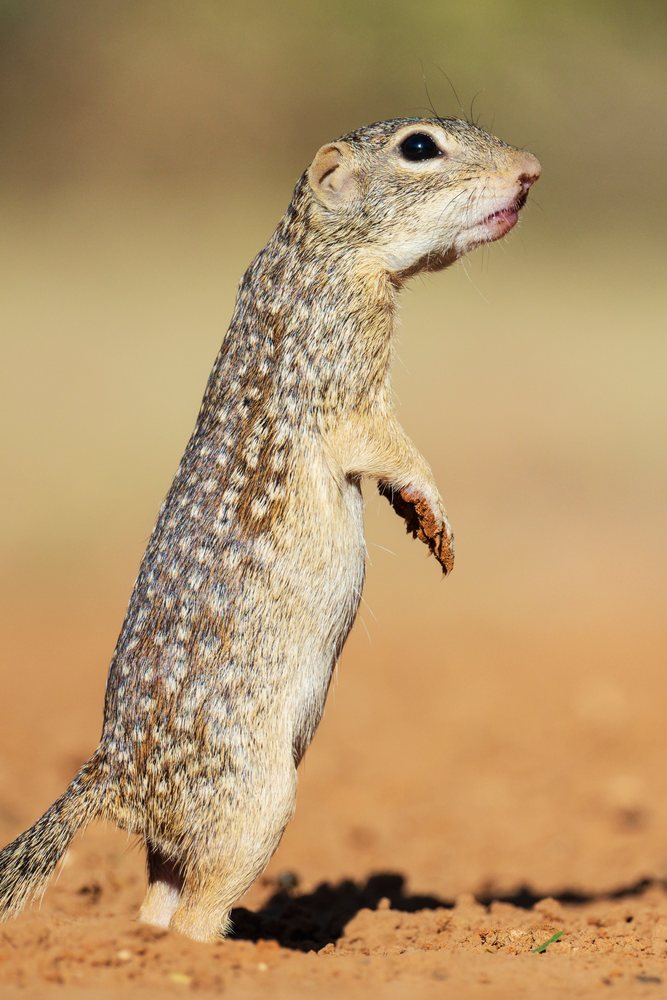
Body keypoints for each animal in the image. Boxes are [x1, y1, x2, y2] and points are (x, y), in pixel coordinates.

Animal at [0, 117, 540, 942]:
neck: (314, 249)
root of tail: (113, 775)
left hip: (182, 836)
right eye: (419, 147)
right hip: (254, 804)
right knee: (196, 908)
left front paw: (415, 515)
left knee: (158, 896)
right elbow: (381, 439)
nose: (530, 171)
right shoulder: (343, 365)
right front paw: (433, 508)